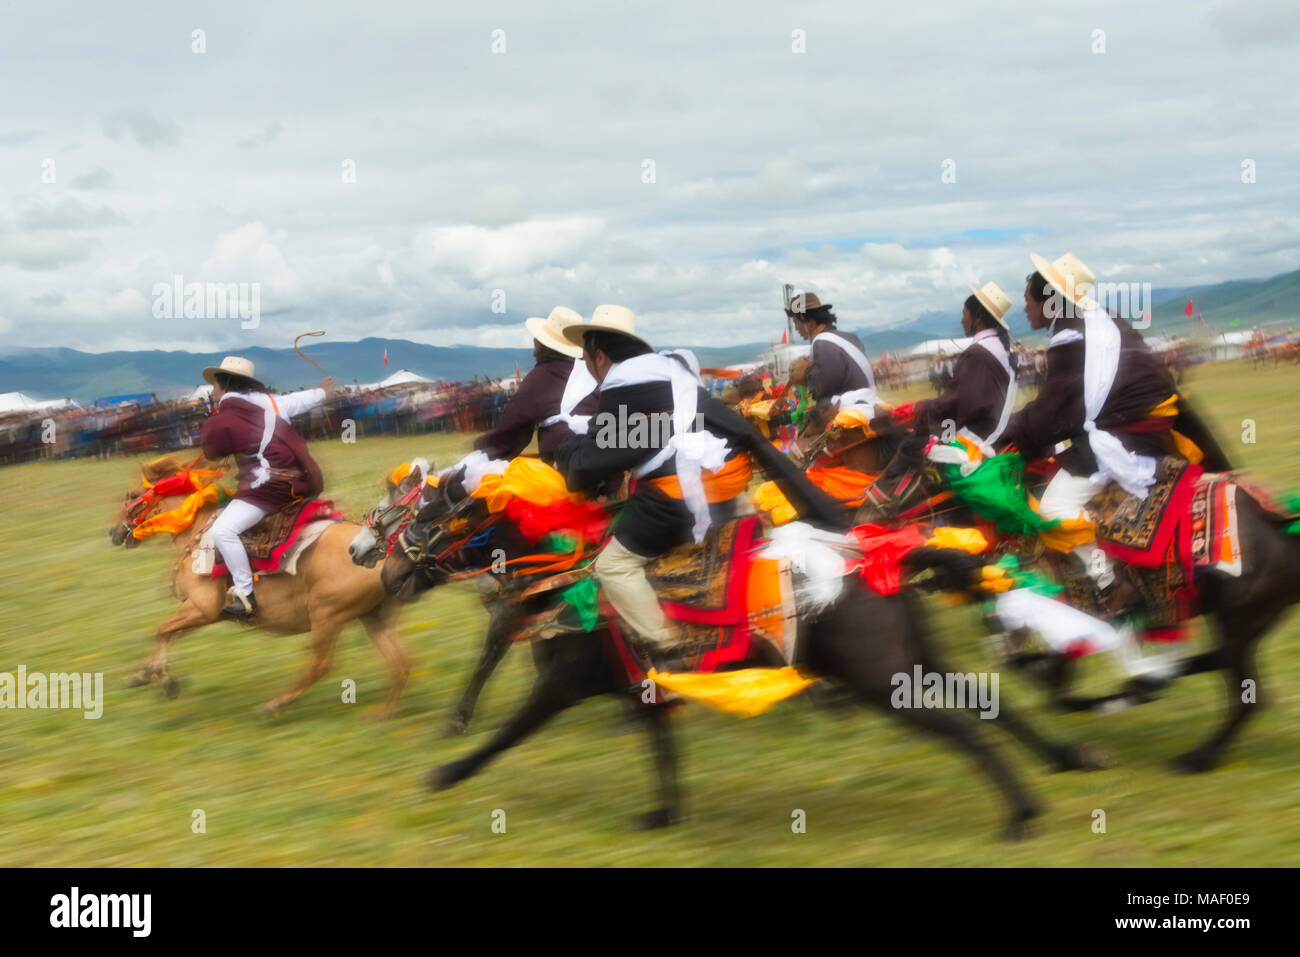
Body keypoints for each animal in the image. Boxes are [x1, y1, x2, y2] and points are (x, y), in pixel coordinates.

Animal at [109, 455, 408, 717]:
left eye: (132, 495)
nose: (113, 532)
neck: (196, 532)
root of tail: (383, 553)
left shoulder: (203, 607)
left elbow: (161, 630)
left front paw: (165, 680)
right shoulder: (208, 613)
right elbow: (170, 633)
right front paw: (144, 674)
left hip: (326, 615)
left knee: (322, 664)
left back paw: (274, 705)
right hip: (374, 617)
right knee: (400, 662)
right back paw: (384, 713)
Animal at [379, 481, 1107, 842]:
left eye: (432, 517)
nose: (387, 573)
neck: (565, 576)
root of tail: (878, 555)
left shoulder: (561, 684)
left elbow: (505, 736)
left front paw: (446, 772)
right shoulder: (641, 689)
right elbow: (663, 752)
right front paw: (664, 815)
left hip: (880, 679)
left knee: (966, 730)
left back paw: (1020, 815)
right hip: (913, 661)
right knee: (992, 706)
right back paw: (1065, 759)